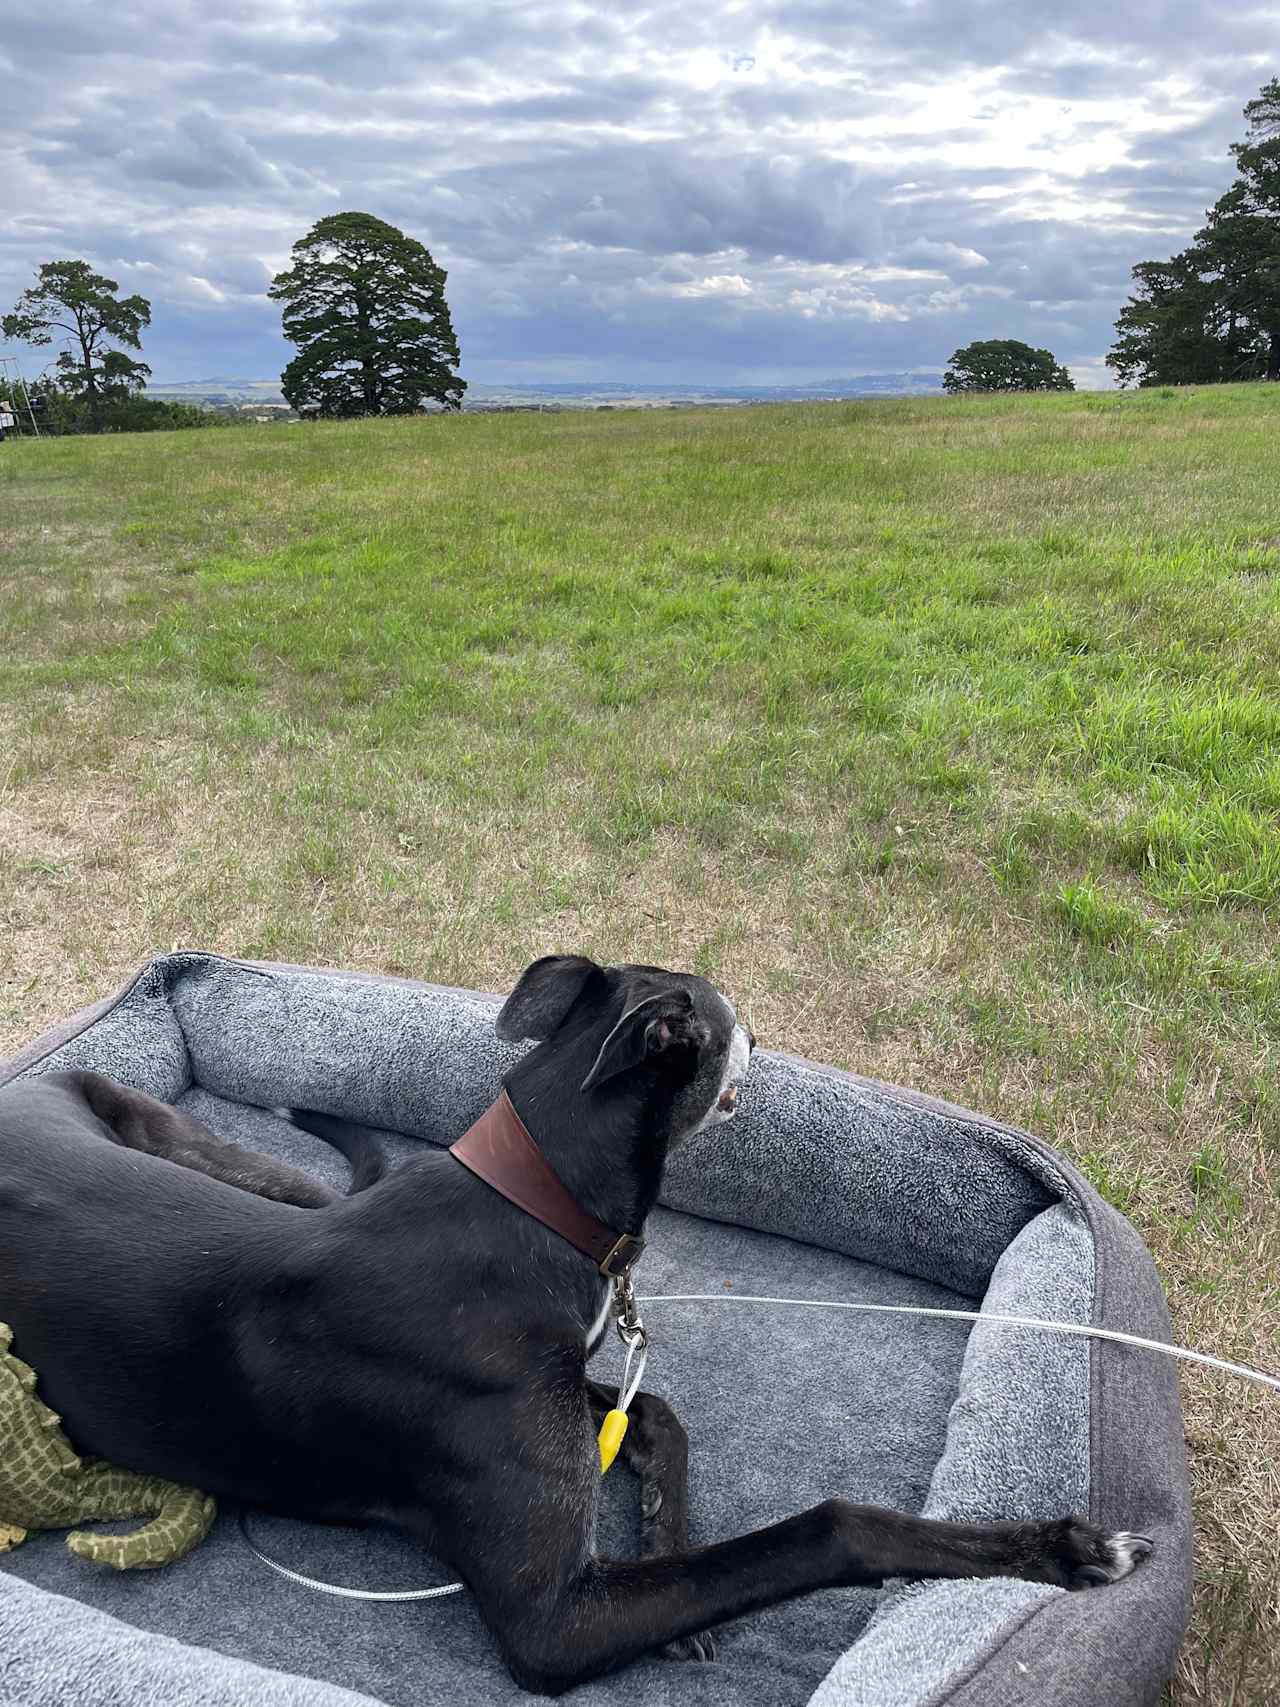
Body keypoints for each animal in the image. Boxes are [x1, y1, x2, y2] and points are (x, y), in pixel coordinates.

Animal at [0, 962, 1153, 1693]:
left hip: (206, 1153)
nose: (772, 1034)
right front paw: (1065, 1548)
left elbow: (662, 1416)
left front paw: (666, 1541)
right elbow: (829, 1526)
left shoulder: (574, 1391)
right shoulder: (552, 1621)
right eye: (733, 1016)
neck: (529, 1199)